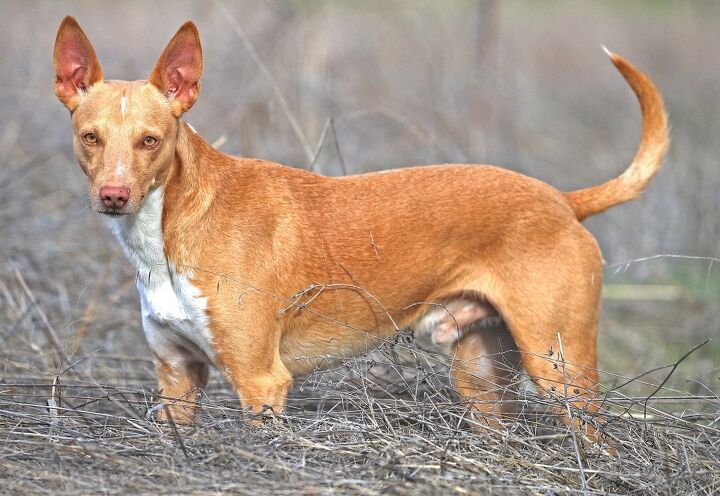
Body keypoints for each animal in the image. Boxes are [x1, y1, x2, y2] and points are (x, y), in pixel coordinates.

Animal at [53, 15, 668, 438]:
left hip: (562, 370)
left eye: (150, 140)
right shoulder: (177, 379)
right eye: (90, 137)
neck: (172, 225)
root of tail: (562, 199)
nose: (114, 196)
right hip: (481, 376)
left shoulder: (261, 382)